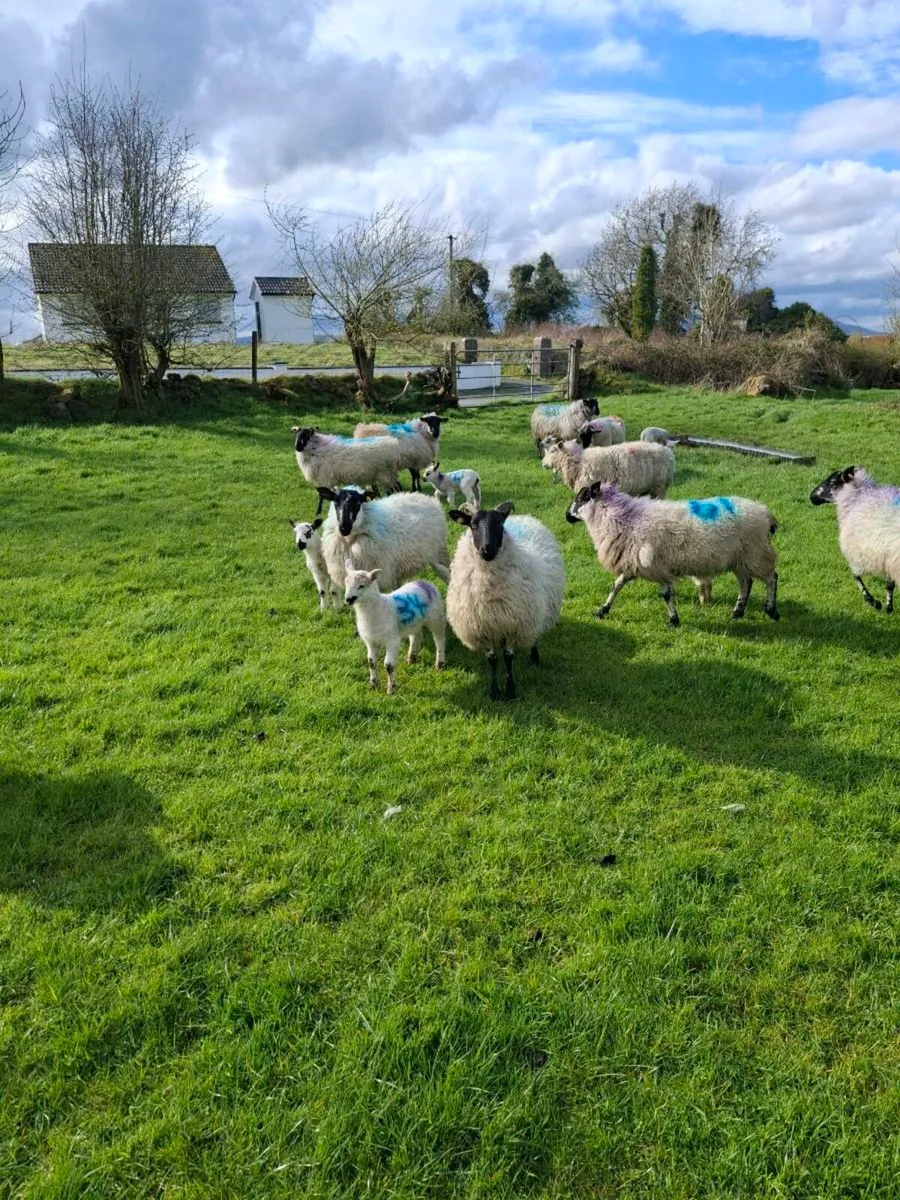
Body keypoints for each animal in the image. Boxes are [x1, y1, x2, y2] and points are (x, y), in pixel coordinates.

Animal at [316, 485, 451, 593]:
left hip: (439, 553)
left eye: (358, 503)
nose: (344, 527)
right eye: (335, 502)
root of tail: (425, 497)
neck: (350, 540)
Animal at [344, 565, 447, 694]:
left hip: (436, 617)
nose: (348, 599)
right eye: (346, 583)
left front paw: (391, 690)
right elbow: (371, 662)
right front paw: (373, 685)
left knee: (439, 639)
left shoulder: (392, 640)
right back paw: (411, 658)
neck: (379, 607)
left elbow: (388, 665)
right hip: (414, 622)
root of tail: (424, 582)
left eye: (361, 586)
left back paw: (439, 664)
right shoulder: (371, 641)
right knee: (416, 636)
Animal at [446, 501, 564, 700]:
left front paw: (510, 691)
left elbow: (508, 659)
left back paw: (534, 658)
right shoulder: (483, 629)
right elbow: (492, 660)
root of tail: (523, 517)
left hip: (534, 613)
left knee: (534, 635)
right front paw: (494, 692)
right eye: (473, 525)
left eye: (499, 523)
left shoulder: (513, 626)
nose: (487, 549)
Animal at [566, 482, 779, 627]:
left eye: (581, 497)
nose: (566, 516)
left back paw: (771, 611)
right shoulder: (633, 563)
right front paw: (602, 610)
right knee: (746, 582)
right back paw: (737, 612)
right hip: (740, 558)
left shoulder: (657, 566)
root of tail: (766, 514)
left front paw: (673, 620)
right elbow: (617, 585)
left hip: (756, 553)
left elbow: (666, 594)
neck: (626, 519)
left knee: (771, 577)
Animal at [810, 466, 900, 613]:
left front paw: (873, 602)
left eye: (832, 481)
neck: (857, 498)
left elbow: (856, 576)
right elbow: (889, 584)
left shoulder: (856, 552)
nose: (812, 497)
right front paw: (888, 606)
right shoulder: (887, 556)